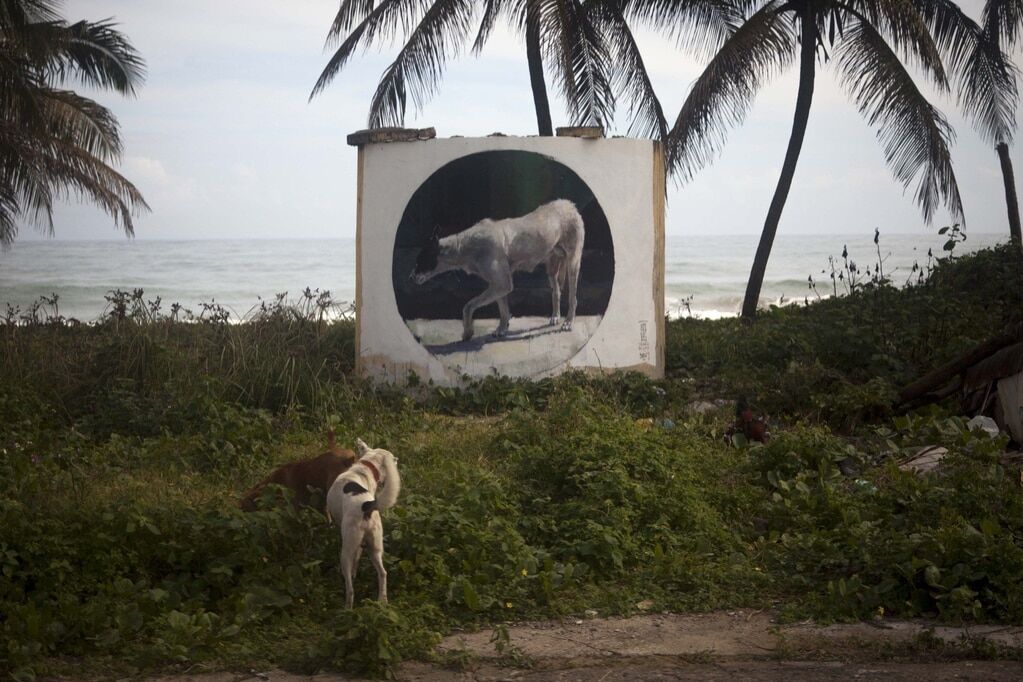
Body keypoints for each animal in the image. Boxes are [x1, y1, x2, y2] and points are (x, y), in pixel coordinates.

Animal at [331, 439, 403, 609]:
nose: (397, 459)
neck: (364, 468)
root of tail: (367, 506)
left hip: (346, 551)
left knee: (350, 588)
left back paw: (348, 608)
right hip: (374, 548)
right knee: (382, 573)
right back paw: (382, 600)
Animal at [409, 200, 585, 343]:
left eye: (420, 262)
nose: (410, 278)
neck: (463, 246)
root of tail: (570, 205)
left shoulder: (501, 284)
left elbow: (468, 306)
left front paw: (467, 332)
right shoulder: (499, 285)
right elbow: (503, 310)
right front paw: (502, 329)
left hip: (573, 263)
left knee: (573, 297)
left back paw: (568, 322)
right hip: (552, 267)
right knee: (556, 291)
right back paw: (555, 316)